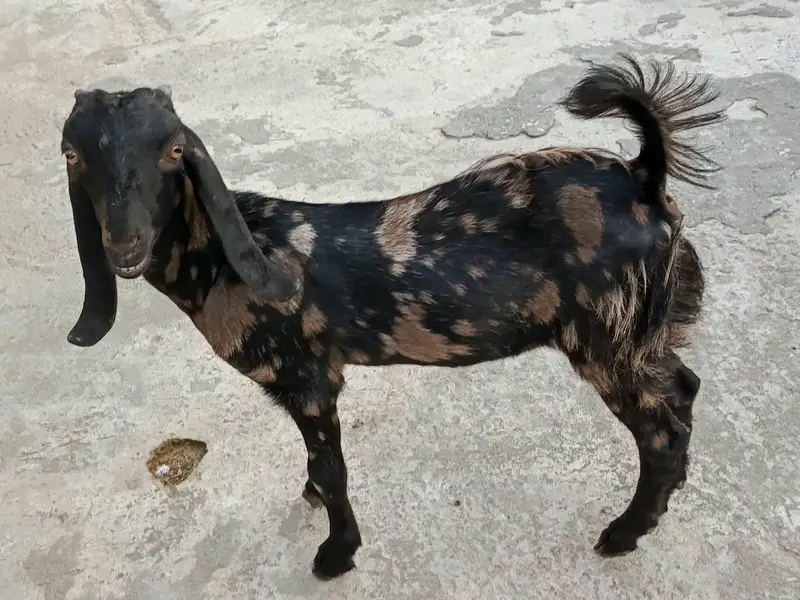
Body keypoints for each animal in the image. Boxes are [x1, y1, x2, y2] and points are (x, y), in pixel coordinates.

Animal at [59, 54, 725, 580]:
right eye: (72, 155)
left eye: (174, 151)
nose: (123, 245)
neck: (232, 256)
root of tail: (644, 178)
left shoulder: (309, 377)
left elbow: (330, 467)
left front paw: (335, 554)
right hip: (641, 330)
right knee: (684, 387)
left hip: (607, 336)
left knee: (660, 431)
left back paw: (622, 534)